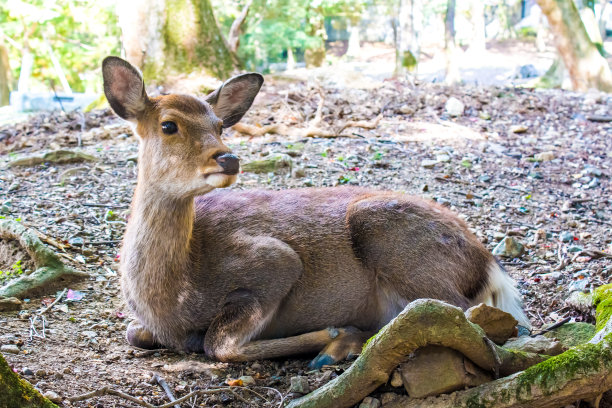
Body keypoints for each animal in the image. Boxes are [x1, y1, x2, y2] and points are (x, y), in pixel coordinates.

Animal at [101, 55, 532, 370]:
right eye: (168, 125)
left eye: (220, 124)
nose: (228, 158)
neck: (172, 298)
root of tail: (488, 264)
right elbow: (133, 333)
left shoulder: (272, 259)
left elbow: (220, 345)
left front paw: (337, 335)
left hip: (391, 236)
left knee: (461, 314)